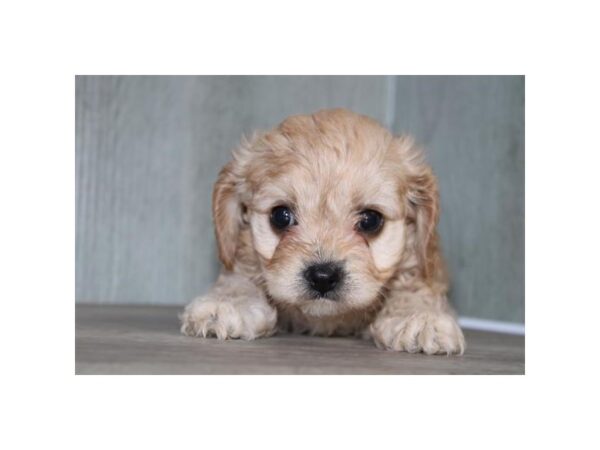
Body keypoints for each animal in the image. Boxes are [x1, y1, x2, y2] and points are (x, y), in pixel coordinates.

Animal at [180, 107, 466, 354]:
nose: (323, 276)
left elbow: (413, 286)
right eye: (281, 216)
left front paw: (419, 318)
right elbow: (240, 276)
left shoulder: (421, 264)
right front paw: (228, 302)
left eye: (370, 220)